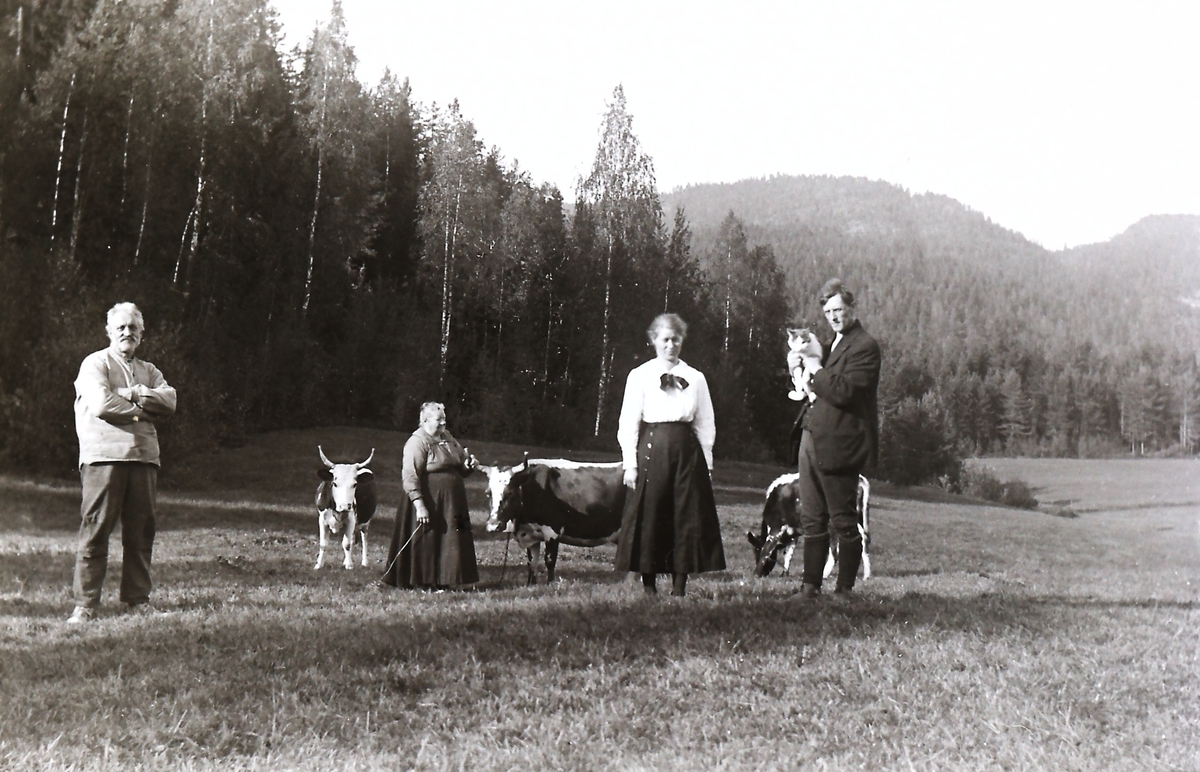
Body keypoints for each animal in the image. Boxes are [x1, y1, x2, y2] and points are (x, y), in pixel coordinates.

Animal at [480, 458, 624, 585]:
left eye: (510, 493)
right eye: (488, 493)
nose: (493, 525)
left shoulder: (552, 530)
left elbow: (549, 560)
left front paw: (550, 583)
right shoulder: (531, 534)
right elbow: (532, 562)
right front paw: (531, 584)